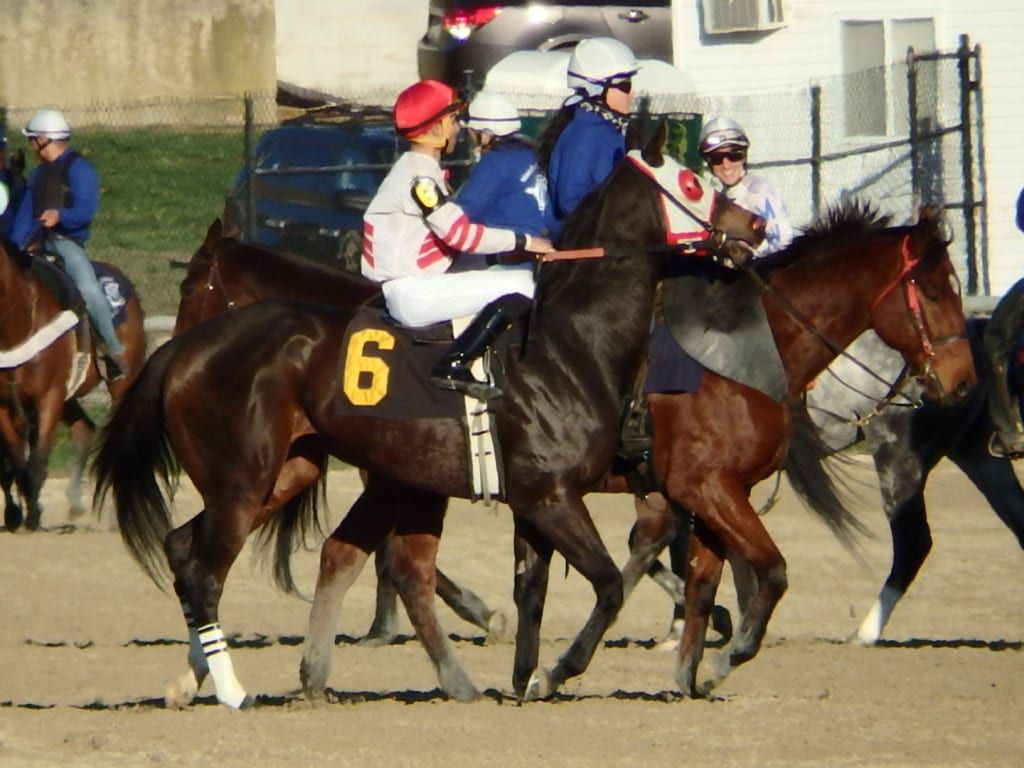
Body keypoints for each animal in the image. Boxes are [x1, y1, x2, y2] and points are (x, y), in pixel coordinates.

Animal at [0, 237, 146, 532]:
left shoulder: (49, 397)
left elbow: (36, 461)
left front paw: (33, 517)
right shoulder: (4, 404)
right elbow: (15, 463)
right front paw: (16, 514)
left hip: (121, 384)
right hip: (68, 396)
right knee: (84, 430)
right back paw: (75, 503)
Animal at [96, 126, 770, 708]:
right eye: (691, 184)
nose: (755, 223)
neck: (570, 344)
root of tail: (187, 352)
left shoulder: (527, 498)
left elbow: (527, 587)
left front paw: (521, 676)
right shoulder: (547, 495)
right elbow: (600, 587)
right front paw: (552, 672)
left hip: (284, 472)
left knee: (186, 548)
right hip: (243, 480)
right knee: (204, 569)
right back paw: (233, 690)